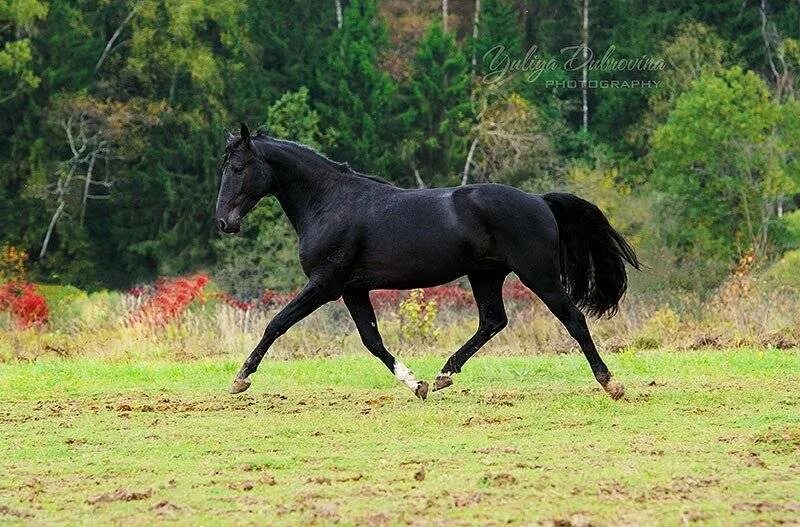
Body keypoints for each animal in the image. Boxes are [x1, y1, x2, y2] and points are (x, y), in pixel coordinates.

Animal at [216, 124, 640, 400]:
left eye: (238, 168)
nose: (224, 222)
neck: (331, 203)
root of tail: (539, 201)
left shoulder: (325, 284)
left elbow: (277, 324)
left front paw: (240, 379)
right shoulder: (353, 289)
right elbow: (372, 340)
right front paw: (416, 384)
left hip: (540, 276)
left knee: (573, 320)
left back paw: (611, 384)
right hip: (485, 274)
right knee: (492, 321)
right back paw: (443, 375)